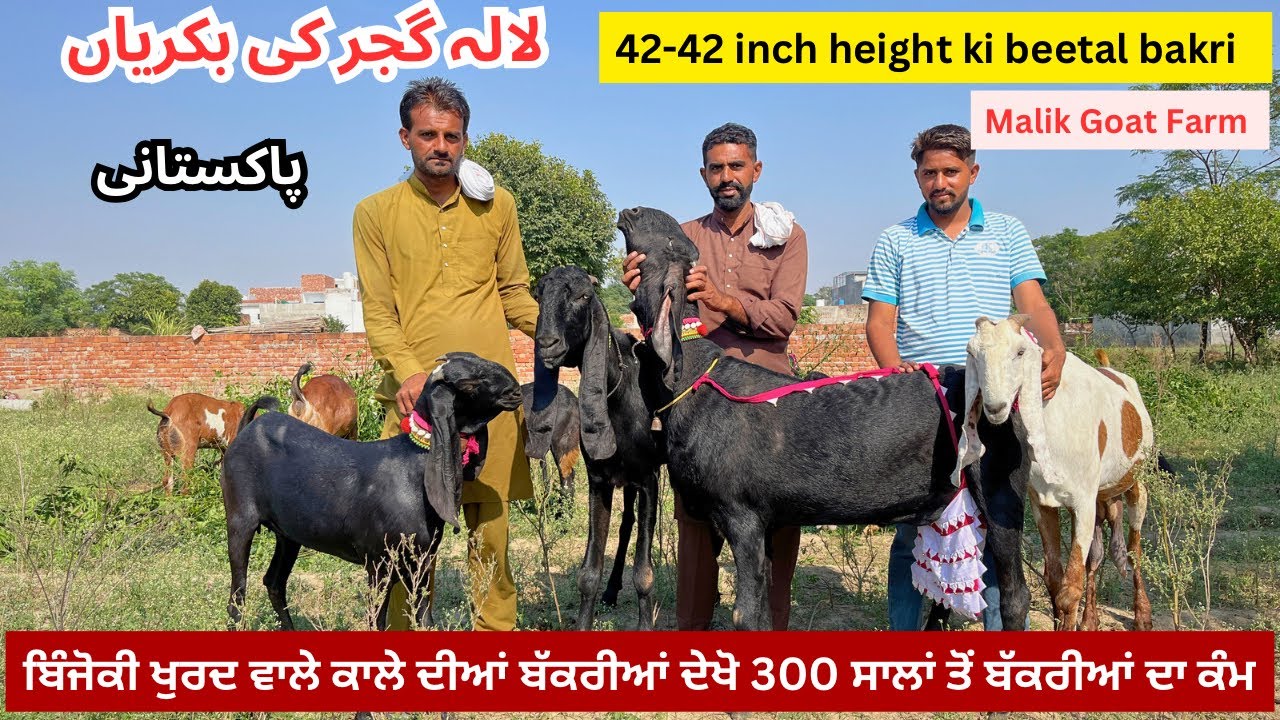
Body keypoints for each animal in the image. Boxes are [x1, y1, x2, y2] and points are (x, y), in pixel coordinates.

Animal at [220, 352, 523, 631]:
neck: (412, 467)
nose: (516, 391)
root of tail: (249, 427)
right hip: (240, 520)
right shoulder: (379, 563)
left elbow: (424, 618)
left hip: (288, 534)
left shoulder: (422, 561)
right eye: (469, 384)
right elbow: (376, 620)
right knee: (237, 598)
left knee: (274, 582)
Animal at [525, 266, 664, 629]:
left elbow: (644, 574)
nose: (547, 344)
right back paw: (612, 591)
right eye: (538, 295)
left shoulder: (649, 479)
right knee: (626, 522)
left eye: (584, 296)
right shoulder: (600, 480)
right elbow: (588, 572)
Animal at [618, 206, 1031, 631]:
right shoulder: (766, 522)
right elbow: (764, 612)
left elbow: (744, 615)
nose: (634, 210)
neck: (694, 374)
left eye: (667, 242)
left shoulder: (742, 515)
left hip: (999, 492)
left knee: (1015, 595)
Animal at [960, 317, 1153, 631]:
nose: (995, 407)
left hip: (1135, 479)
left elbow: (1069, 590)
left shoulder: (1084, 502)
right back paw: (1090, 620)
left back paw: (1142, 615)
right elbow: (1054, 579)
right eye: (972, 353)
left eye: (1020, 352)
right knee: (1095, 557)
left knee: (1134, 551)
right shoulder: (1043, 502)